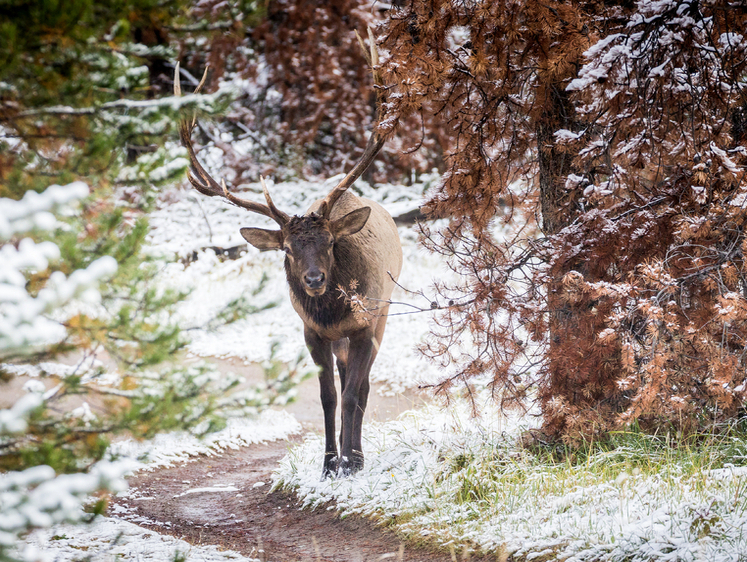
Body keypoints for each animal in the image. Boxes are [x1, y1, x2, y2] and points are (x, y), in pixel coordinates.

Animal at [173, 32, 404, 474]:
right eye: (288, 249)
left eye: (330, 243)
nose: (314, 279)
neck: (334, 314)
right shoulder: (311, 332)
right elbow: (328, 397)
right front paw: (328, 464)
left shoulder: (366, 324)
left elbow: (354, 394)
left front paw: (350, 461)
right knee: (346, 382)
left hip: (384, 315)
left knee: (363, 387)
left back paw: (357, 453)